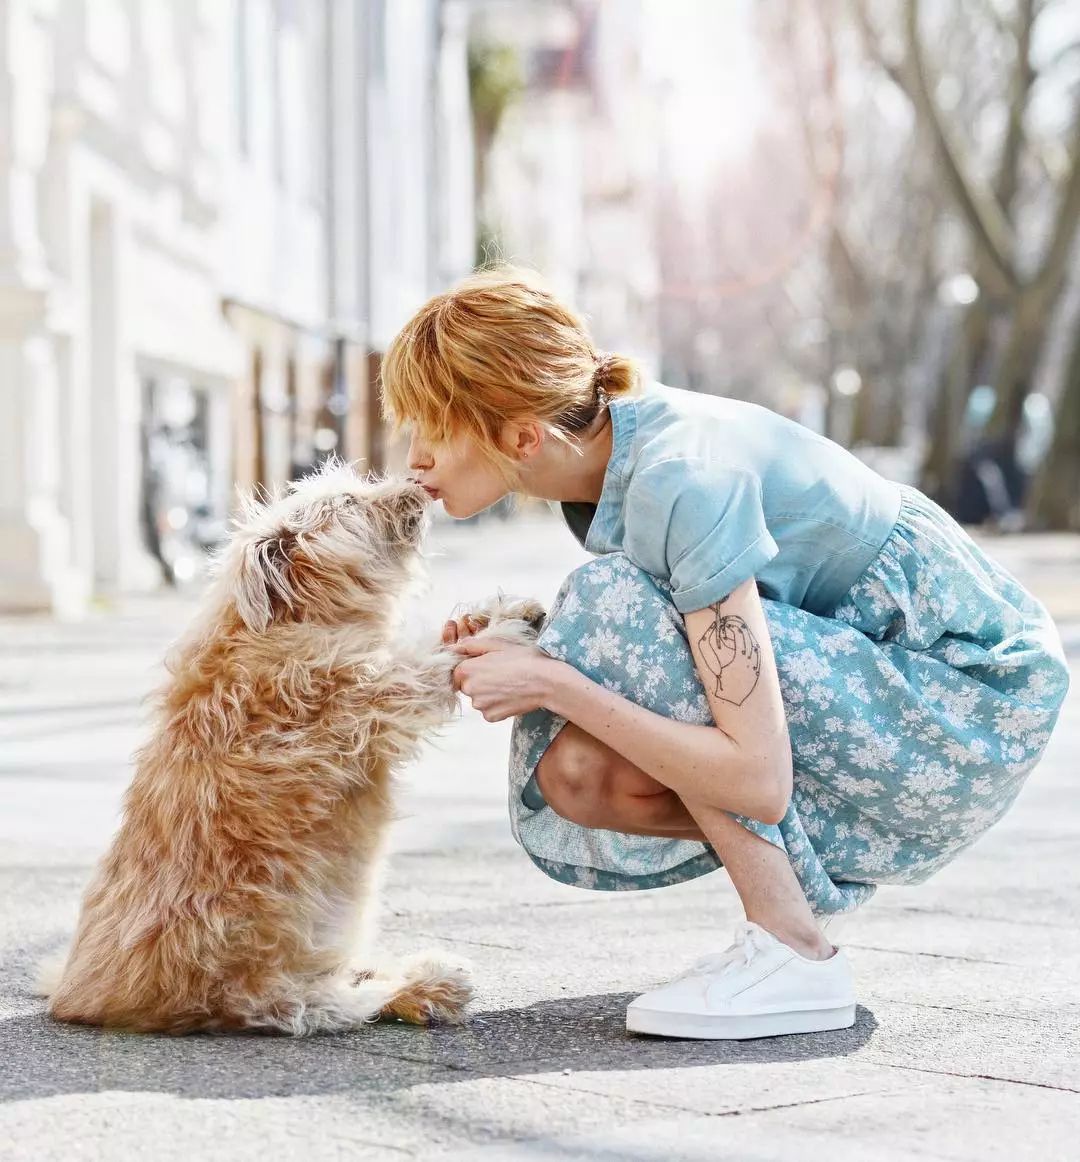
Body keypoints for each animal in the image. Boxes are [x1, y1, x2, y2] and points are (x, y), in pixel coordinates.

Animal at [40, 462, 548, 1036]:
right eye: (348, 501)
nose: (415, 484)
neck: (292, 620)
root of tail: (81, 999)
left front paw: (498, 614)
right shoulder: (366, 694)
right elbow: (437, 661)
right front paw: (503, 631)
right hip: (268, 990)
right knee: (342, 1001)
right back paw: (427, 984)